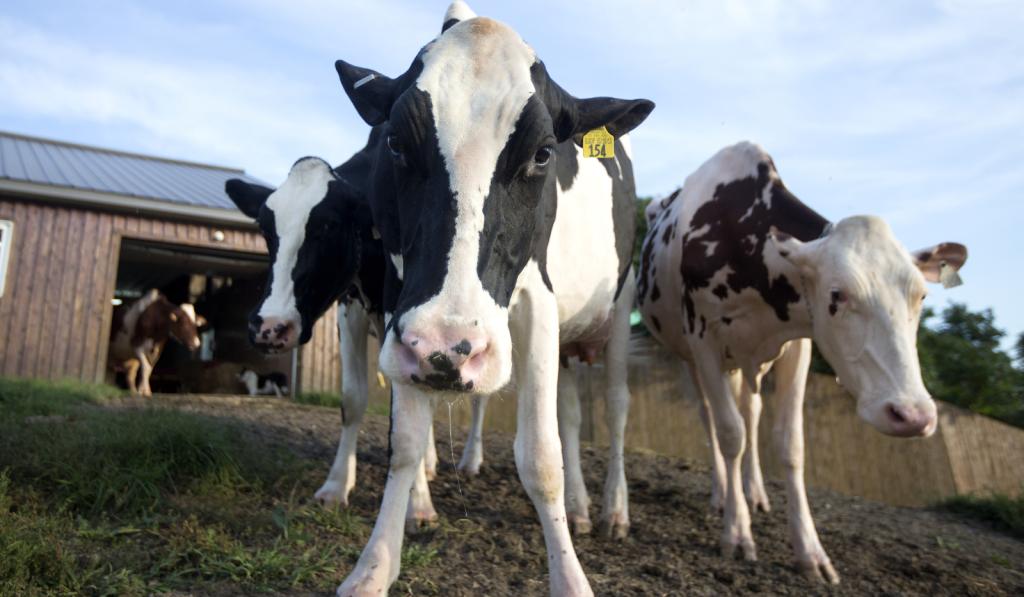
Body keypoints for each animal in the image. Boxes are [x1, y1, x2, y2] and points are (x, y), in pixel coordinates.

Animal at [332, 3, 654, 594]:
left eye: (544, 153)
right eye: (395, 143)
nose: (445, 344)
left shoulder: (539, 302)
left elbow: (542, 458)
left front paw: (570, 579)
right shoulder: (399, 303)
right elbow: (405, 441)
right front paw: (372, 570)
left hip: (618, 310)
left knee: (616, 407)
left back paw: (613, 511)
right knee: (572, 413)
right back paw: (579, 509)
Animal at [636, 141, 968, 584]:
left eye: (922, 296)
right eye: (837, 294)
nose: (912, 415)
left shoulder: (799, 346)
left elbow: (789, 444)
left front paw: (810, 552)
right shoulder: (703, 338)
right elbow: (730, 434)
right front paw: (737, 533)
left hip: (744, 362)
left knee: (751, 410)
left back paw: (755, 492)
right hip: (691, 357)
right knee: (712, 418)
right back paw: (724, 494)